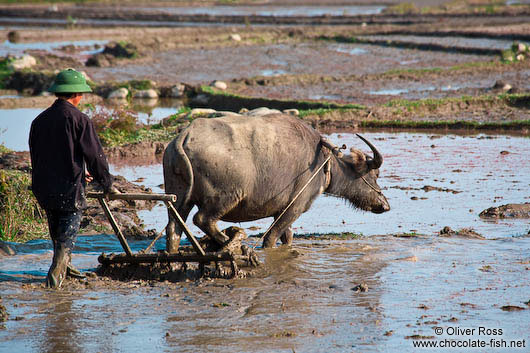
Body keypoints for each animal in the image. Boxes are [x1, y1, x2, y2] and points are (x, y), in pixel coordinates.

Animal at [163, 113, 390, 250]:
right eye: (375, 175)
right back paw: (229, 242)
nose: (385, 205)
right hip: (224, 197)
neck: (324, 163)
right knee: (202, 219)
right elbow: (271, 238)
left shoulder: (281, 210)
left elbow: (287, 237)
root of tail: (184, 137)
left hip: (178, 197)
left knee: (174, 227)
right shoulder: (294, 208)